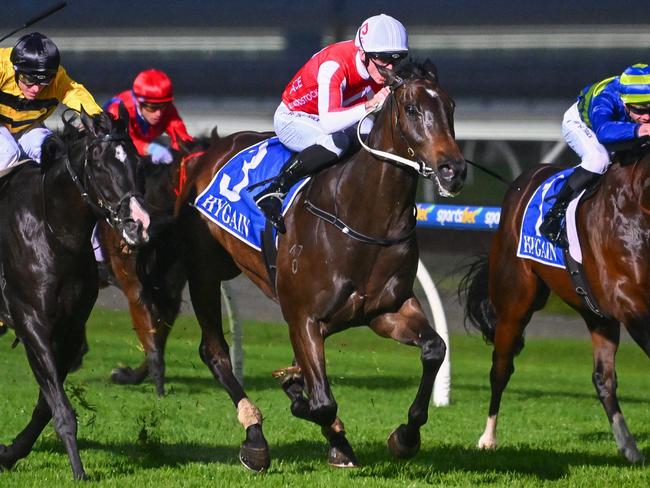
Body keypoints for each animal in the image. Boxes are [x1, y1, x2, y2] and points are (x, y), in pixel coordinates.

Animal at [0, 108, 149, 478]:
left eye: (138, 162)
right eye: (98, 164)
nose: (139, 224)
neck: (53, 232)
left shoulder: (70, 327)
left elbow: (47, 404)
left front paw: (9, 452)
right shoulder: (31, 321)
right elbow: (60, 406)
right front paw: (79, 471)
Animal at [165, 61, 464, 468]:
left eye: (451, 107)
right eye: (413, 109)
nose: (453, 170)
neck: (360, 215)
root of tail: (209, 152)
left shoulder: (387, 309)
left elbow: (434, 349)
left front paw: (404, 436)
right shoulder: (302, 315)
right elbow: (321, 403)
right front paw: (318, 417)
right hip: (204, 273)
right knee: (214, 352)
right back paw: (255, 437)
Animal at [458, 152, 648, 466]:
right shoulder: (631, 303)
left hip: (596, 313)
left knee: (603, 379)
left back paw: (630, 447)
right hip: (515, 305)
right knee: (500, 368)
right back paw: (488, 438)